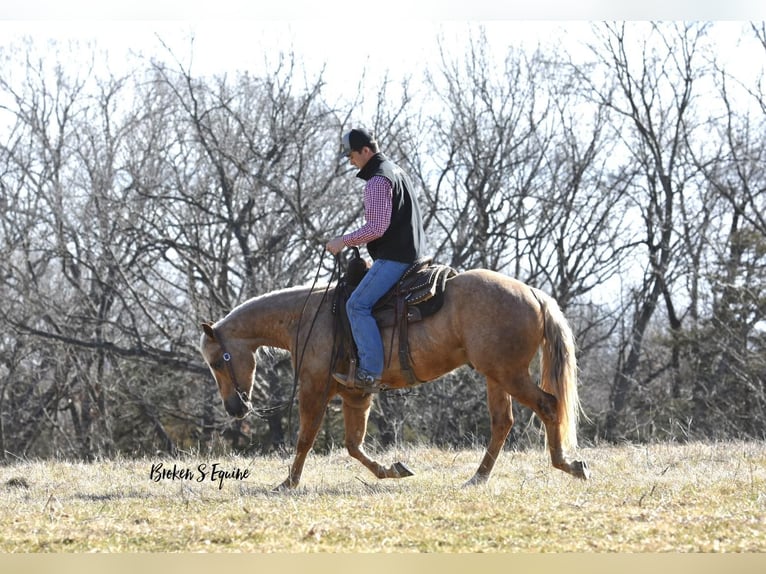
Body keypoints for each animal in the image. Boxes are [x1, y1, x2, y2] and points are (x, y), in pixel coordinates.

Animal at [201, 268, 592, 490]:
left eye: (218, 361)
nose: (235, 408)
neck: (308, 317)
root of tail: (534, 295)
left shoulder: (315, 388)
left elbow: (305, 439)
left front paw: (288, 482)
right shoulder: (356, 394)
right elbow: (354, 445)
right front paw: (393, 469)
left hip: (508, 374)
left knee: (548, 405)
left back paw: (568, 465)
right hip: (496, 375)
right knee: (503, 422)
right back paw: (478, 477)